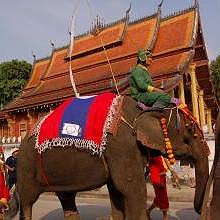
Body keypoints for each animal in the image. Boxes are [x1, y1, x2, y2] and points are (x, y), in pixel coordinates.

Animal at [6, 96, 210, 220]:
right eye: (190, 130)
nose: (201, 211)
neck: (141, 108)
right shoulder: (122, 146)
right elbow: (131, 187)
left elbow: (117, 191)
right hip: (26, 167)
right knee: (27, 202)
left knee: (67, 198)